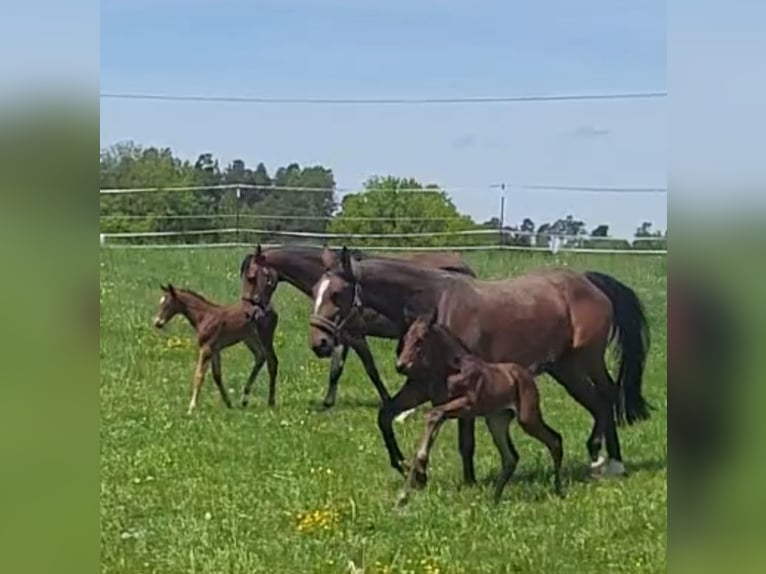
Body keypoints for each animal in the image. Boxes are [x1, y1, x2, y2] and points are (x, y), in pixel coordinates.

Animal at [153, 283, 279, 413]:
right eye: (161, 302)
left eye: (167, 304)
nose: (157, 323)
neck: (204, 317)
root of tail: (272, 311)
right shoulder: (215, 350)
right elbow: (217, 375)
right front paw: (228, 403)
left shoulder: (206, 349)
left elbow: (199, 375)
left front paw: (191, 407)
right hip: (250, 339)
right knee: (260, 357)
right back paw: (245, 399)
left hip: (265, 337)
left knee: (272, 362)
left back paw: (271, 402)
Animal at [239, 244, 476, 408]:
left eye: (251, 277)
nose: (249, 312)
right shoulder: (340, 335)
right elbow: (337, 369)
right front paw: (328, 401)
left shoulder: (354, 335)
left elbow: (370, 369)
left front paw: (386, 399)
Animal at [309, 246, 651, 483]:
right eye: (314, 291)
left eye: (337, 293)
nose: (319, 343)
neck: (434, 304)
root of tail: (590, 282)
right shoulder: (419, 384)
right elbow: (385, 415)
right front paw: (407, 466)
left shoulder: (467, 391)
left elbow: (466, 441)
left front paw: (469, 482)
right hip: (565, 369)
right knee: (596, 401)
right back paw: (596, 456)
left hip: (588, 360)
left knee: (608, 395)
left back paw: (614, 462)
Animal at [394, 310, 563, 507]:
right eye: (406, 338)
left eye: (420, 340)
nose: (400, 366)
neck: (453, 370)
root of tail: (527, 373)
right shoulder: (446, 409)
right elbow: (431, 425)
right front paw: (407, 489)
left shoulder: (467, 405)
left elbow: (433, 414)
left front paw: (410, 486)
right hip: (496, 420)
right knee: (510, 457)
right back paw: (495, 499)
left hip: (527, 417)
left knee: (555, 440)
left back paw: (559, 491)